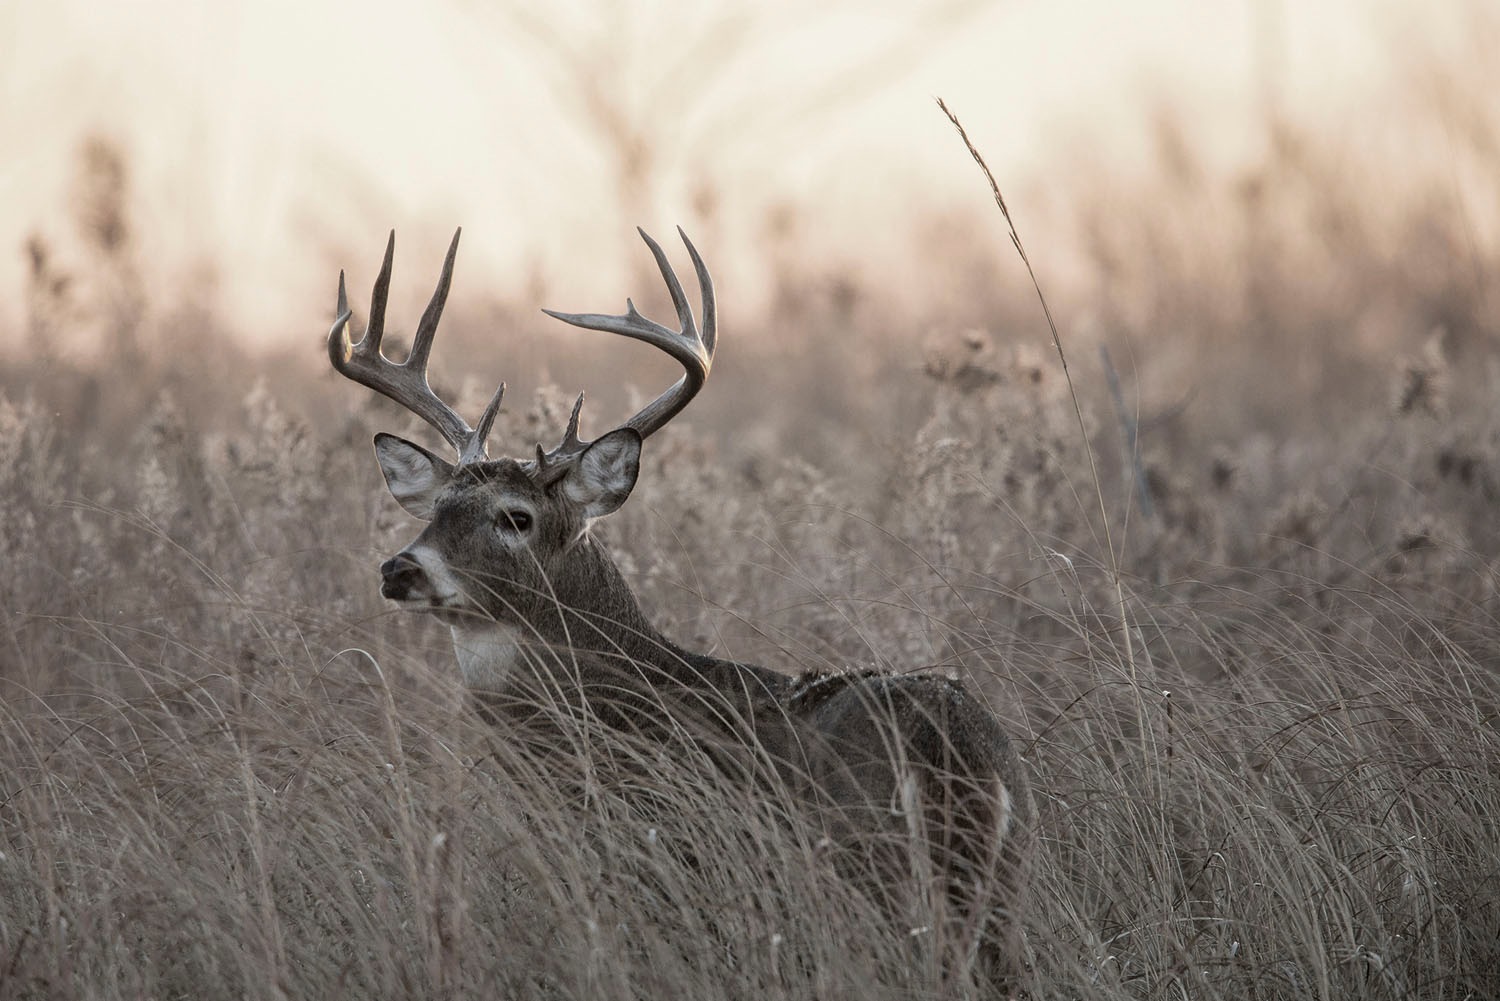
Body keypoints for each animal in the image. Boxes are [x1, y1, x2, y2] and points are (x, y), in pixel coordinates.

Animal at [327, 229, 1032, 996]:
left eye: (514, 517)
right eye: (436, 510)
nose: (400, 569)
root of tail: (944, 750)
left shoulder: (667, 864)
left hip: (868, 876)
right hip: (997, 888)